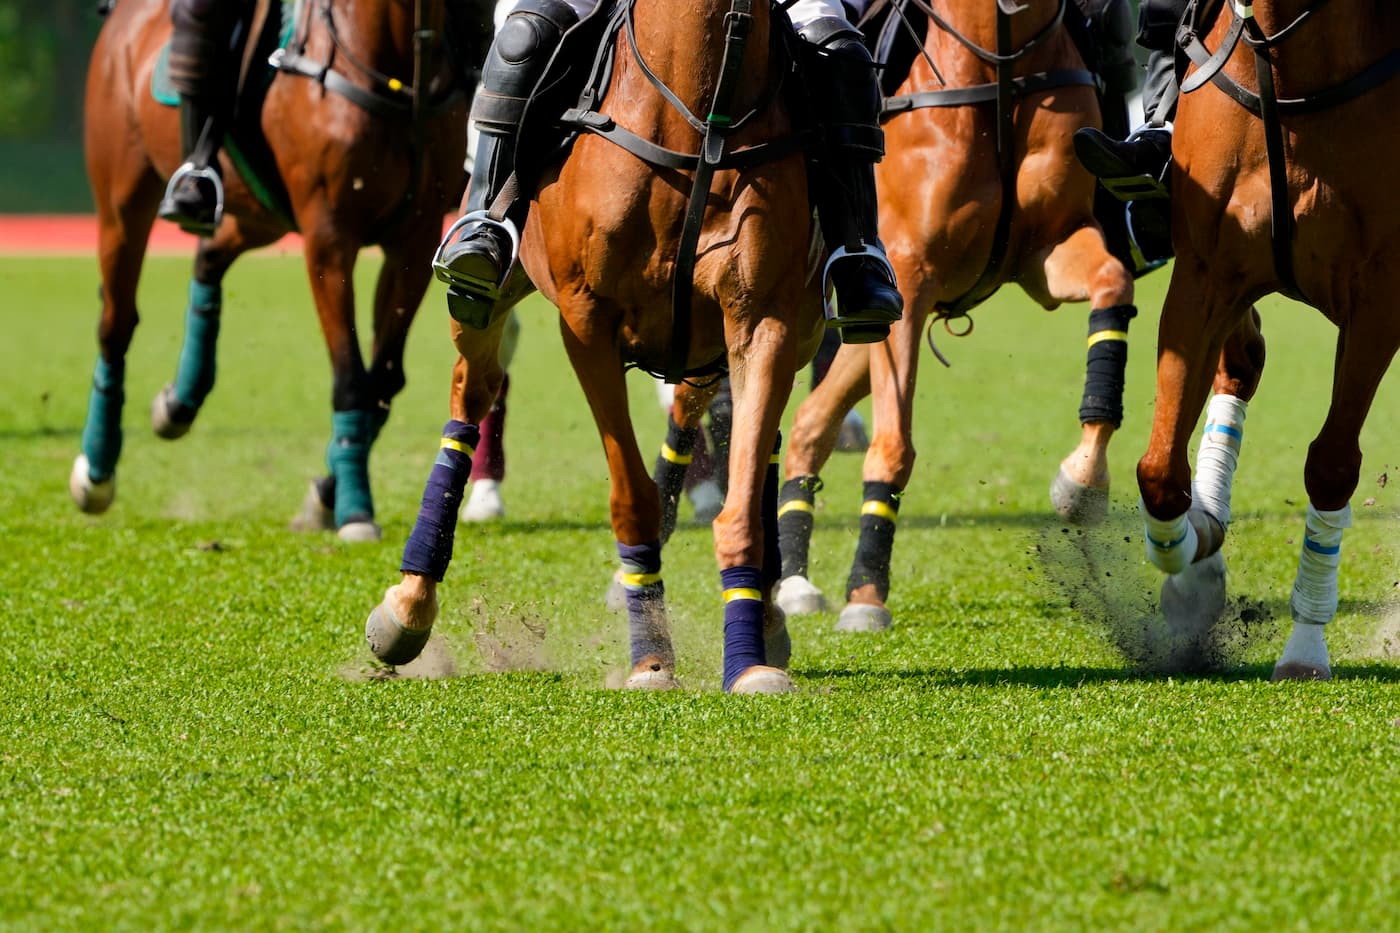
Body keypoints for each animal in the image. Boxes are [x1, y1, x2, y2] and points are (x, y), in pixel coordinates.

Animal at [69, 0, 480, 540]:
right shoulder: (329, 237)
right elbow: (350, 376)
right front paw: (354, 509)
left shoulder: (414, 237)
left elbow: (383, 381)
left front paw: (326, 495)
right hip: (122, 202)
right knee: (115, 324)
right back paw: (95, 471)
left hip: (257, 212)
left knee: (208, 259)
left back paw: (178, 403)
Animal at [363, 0, 825, 693]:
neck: (699, 116)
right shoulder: (586, 322)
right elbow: (631, 497)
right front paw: (651, 658)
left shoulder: (762, 320)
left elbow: (741, 501)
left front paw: (747, 661)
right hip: (487, 291)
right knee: (470, 395)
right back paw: (409, 605)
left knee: (756, 444)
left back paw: (768, 620)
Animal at [774, 0, 1140, 630]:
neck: (1000, 64)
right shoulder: (911, 276)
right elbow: (893, 446)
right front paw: (867, 593)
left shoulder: (1051, 249)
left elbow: (1111, 288)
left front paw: (1084, 480)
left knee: (809, 423)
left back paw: (795, 579)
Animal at [1135, 0, 1400, 680]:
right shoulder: (1204, 278)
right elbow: (1160, 472)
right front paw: (1195, 574)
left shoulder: (1380, 297)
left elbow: (1331, 465)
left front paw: (1305, 646)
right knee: (1241, 365)